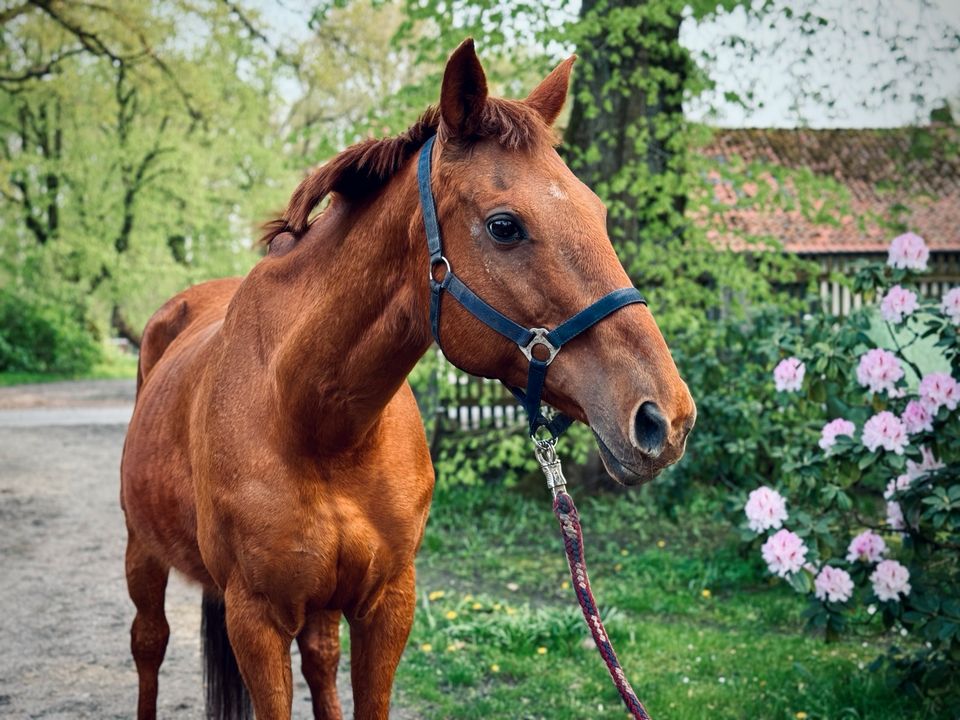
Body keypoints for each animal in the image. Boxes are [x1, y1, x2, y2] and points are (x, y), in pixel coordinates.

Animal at [120, 40, 692, 720]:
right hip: (142, 554)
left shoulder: (388, 604)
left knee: (320, 660)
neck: (315, 421)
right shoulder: (255, 621)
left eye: (598, 212)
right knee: (149, 646)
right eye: (504, 226)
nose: (665, 417)